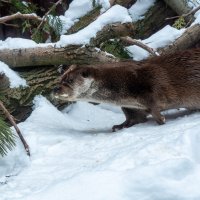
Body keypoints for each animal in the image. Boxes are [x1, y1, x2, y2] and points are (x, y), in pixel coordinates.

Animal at [52, 48, 200, 131]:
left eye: (69, 81)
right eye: (60, 80)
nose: (55, 89)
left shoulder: (148, 85)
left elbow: (154, 104)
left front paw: (161, 119)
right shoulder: (130, 106)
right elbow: (134, 117)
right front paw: (121, 125)